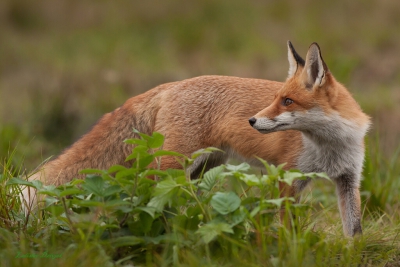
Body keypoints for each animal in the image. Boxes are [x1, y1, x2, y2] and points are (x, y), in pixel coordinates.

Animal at [24, 41, 368, 237]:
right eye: (276, 99)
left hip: (200, 170)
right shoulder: (287, 178)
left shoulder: (348, 179)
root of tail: (171, 84)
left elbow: (354, 231)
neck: (329, 146)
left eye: (287, 101)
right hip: (171, 168)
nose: (252, 120)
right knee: (143, 199)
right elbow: (286, 230)